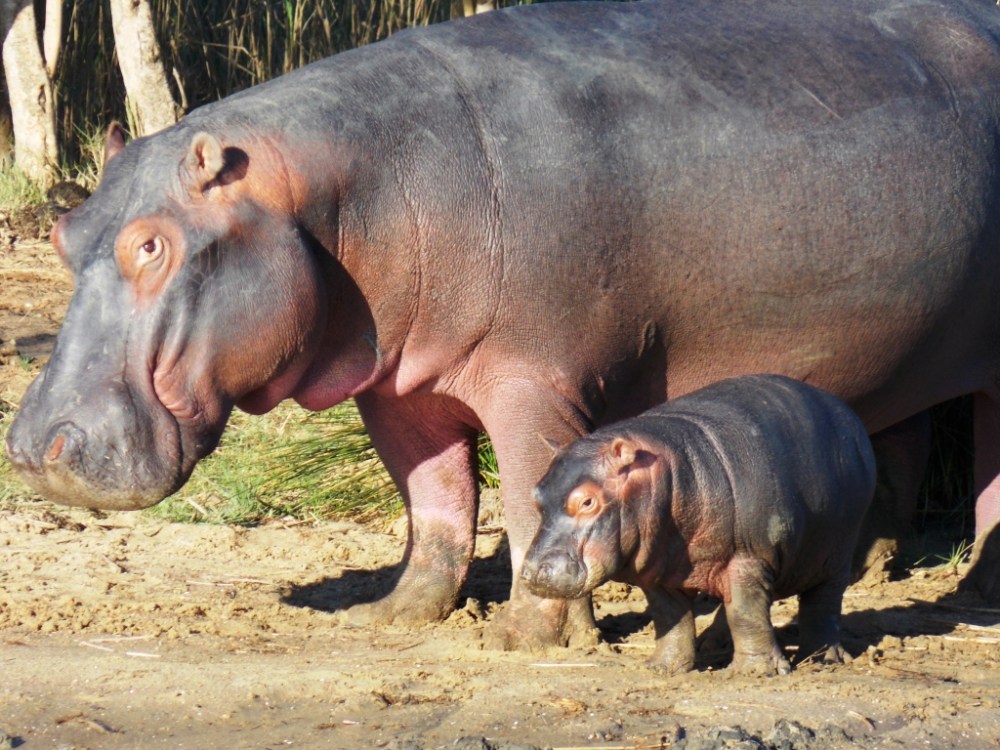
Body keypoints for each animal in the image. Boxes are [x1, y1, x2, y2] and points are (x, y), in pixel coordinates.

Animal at [521, 375, 877, 675]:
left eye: (587, 501)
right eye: (536, 492)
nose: (532, 572)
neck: (672, 473)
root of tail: (849, 416)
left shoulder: (747, 557)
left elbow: (746, 613)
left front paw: (755, 673)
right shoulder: (657, 569)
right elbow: (670, 616)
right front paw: (662, 668)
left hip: (837, 552)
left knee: (823, 604)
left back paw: (822, 659)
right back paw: (713, 645)